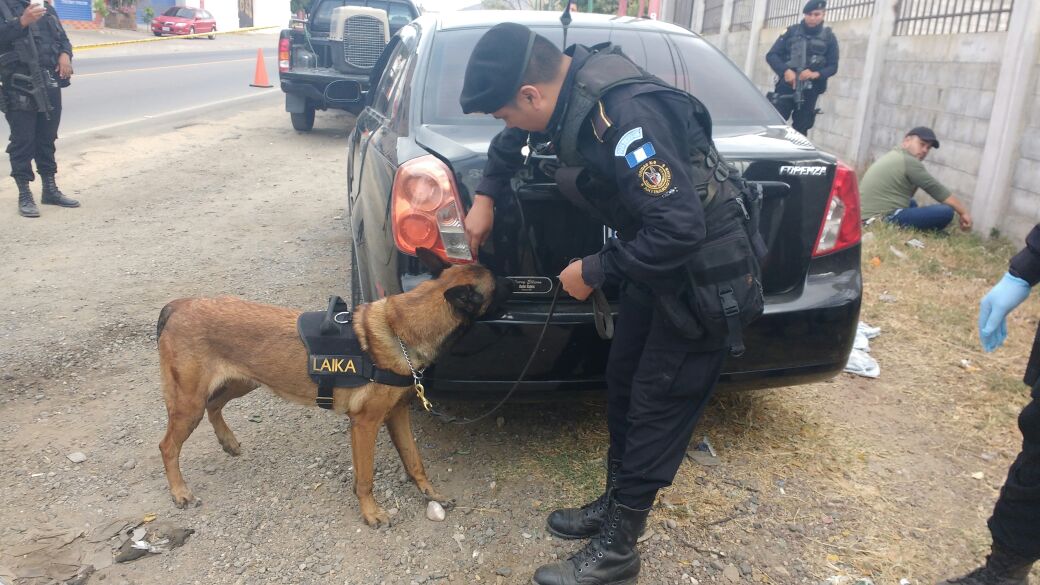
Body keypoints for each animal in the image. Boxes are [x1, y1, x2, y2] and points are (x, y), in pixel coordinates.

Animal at [156, 247, 509, 526]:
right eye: (499, 284)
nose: (519, 282)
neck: (403, 330)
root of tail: (179, 305)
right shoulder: (365, 424)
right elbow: (365, 477)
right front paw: (371, 512)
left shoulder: (397, 415)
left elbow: (415, 461)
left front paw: (431, 493)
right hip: (189, 404)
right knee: (168, 446)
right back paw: (180, 491)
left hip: (243, 383)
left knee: (215, 405)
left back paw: (227, 441)